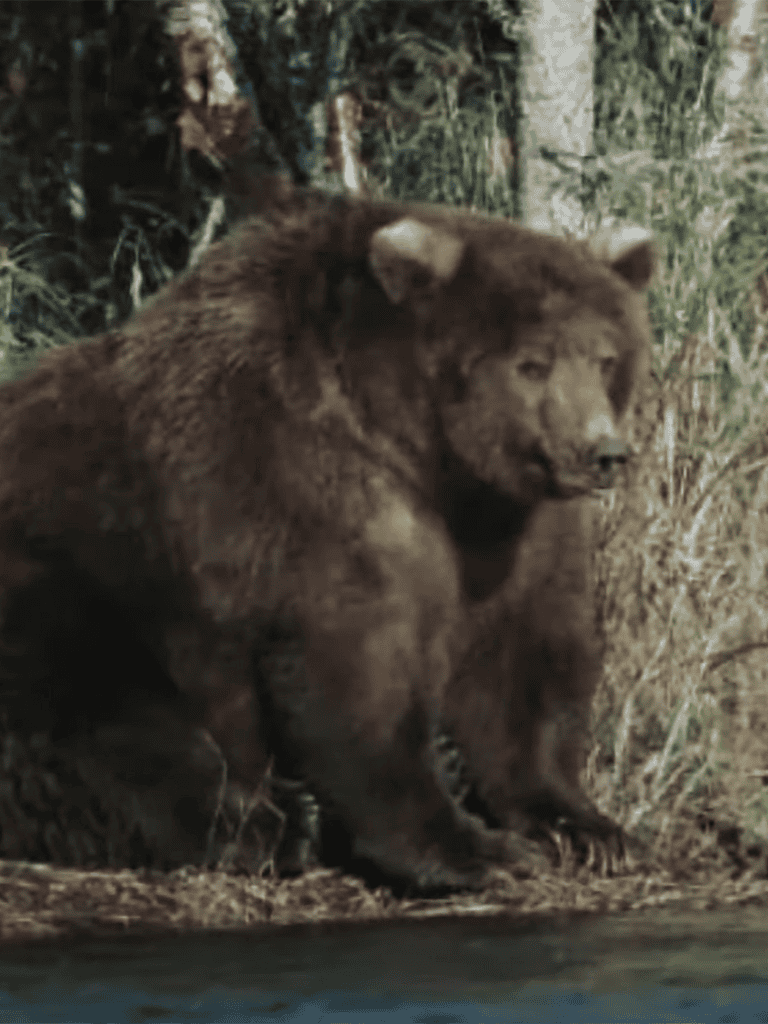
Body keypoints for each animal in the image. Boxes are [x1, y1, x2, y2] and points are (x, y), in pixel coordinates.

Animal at [0, 186, 654, 892]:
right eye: (532, 363)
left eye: (605, 358)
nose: (602, 452)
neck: (427, 454)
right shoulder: (298, 485)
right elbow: (357, 670)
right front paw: (473, 849)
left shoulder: (512, 524)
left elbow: (523, 657)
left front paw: (586, 828)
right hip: (75, 572)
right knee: (104, 712)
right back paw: (270, 826)